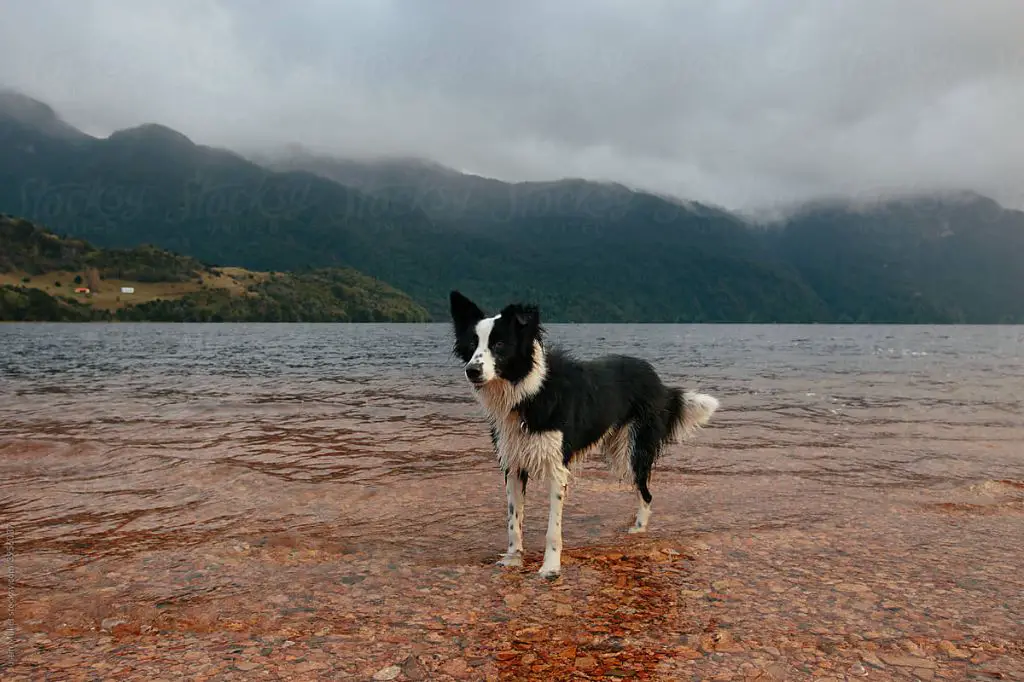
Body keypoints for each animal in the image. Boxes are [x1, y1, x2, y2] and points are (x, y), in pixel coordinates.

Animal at [448, 288, 720, 577]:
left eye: (499, 344)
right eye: (472, 345)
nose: (472, 371)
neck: (530, 392)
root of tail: (657, 381)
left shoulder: (557, 468)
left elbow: (552, 529)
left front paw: (550, 568)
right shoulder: (513, 465)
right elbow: (513, 521)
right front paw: (513, 558)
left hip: (632, 451)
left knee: (646, 493)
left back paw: (638, 530)